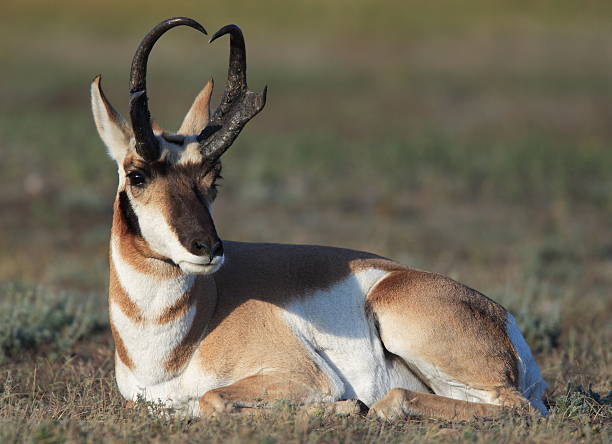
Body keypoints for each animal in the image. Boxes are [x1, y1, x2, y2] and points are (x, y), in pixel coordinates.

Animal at [92, 17, 548, 420]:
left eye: (213, 177)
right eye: (137, 175)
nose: (206, 248)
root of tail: (501, 318)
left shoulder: (303, 377)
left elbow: (210, 400)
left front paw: (346, 407)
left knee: (511, 407)